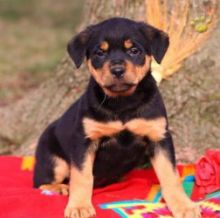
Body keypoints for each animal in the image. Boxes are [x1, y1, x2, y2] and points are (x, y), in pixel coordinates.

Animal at [33, 17, 201, 218]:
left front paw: (183, 206)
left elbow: (170, 175)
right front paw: (79, 206)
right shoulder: (85, 141)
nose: (118, 70)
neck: (123, 103)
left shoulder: (159, 137)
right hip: (54, 161)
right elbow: (82, 177)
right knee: (41, 182)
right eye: (100, 53)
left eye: (134, 50)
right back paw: (59, 188)